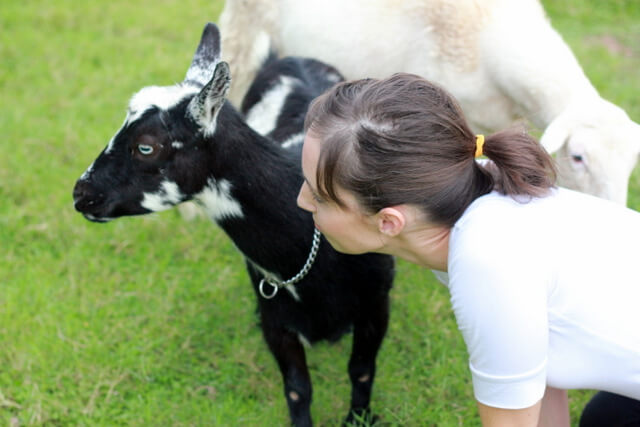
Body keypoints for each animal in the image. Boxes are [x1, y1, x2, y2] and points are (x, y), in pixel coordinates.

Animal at [72, 24, 392, 427]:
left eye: (146, 147)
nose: (81, 194)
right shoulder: (276, 318)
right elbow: (298, 388)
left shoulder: (376, 305)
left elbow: (361, 371)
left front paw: (358, 418)